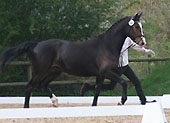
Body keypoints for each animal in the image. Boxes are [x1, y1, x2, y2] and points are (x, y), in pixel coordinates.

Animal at [0, 12, 146, 107]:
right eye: (136, 26)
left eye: (141, 26)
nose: (143, 42)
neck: (107, 45)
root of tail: (36, 45)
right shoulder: (107, 72)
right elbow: (123, 82)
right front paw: (121, 101)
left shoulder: (101, 74)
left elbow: (97, 91)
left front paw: (94, 105)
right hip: (39, 71)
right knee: (30, 86)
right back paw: (27, 108)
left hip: (54, 71)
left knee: (43, 85)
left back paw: (55, 102)